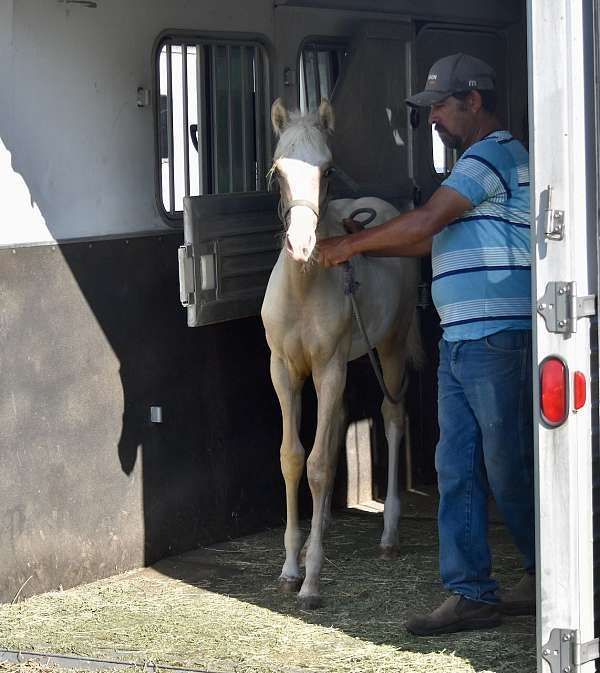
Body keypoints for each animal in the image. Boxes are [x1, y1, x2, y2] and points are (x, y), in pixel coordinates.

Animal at [262, 98, 422, 608]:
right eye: (278, 170)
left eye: (327, 169)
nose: (301, 245)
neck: (303, 288)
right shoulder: (284, 370)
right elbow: (292, 458)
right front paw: (290, 567)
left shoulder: (330, 368)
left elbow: (317, 464)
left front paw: (311, 581)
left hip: (389, 346)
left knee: (392, 416)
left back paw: (389, 534)